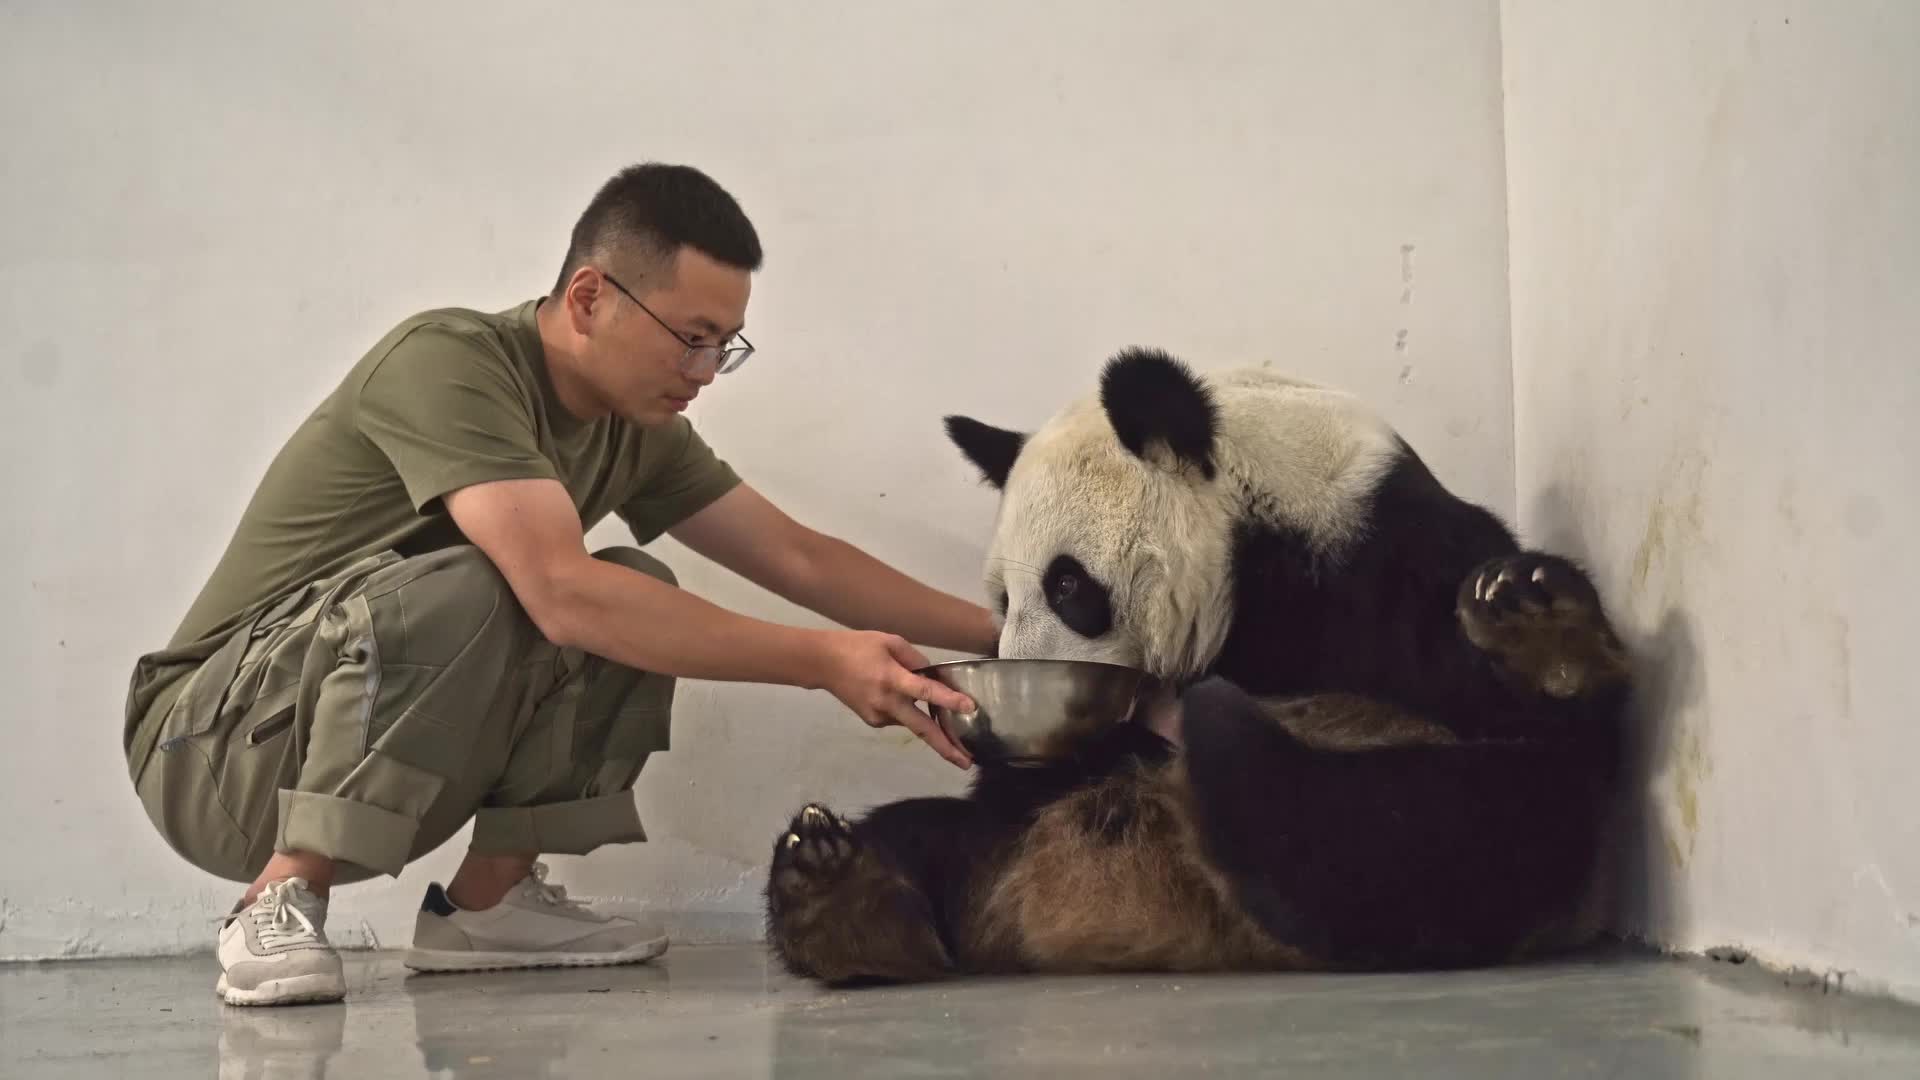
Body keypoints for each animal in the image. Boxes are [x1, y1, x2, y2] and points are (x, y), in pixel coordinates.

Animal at [756, 345, 1628, 983]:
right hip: (1002, 837)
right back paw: (837, 892)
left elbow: (1501, 708)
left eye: (1068, 586)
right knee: (927, 838)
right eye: (1002, 600)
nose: (1007, 722)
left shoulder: (1379, 552)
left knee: (1440, 825)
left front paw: (1534, 633)